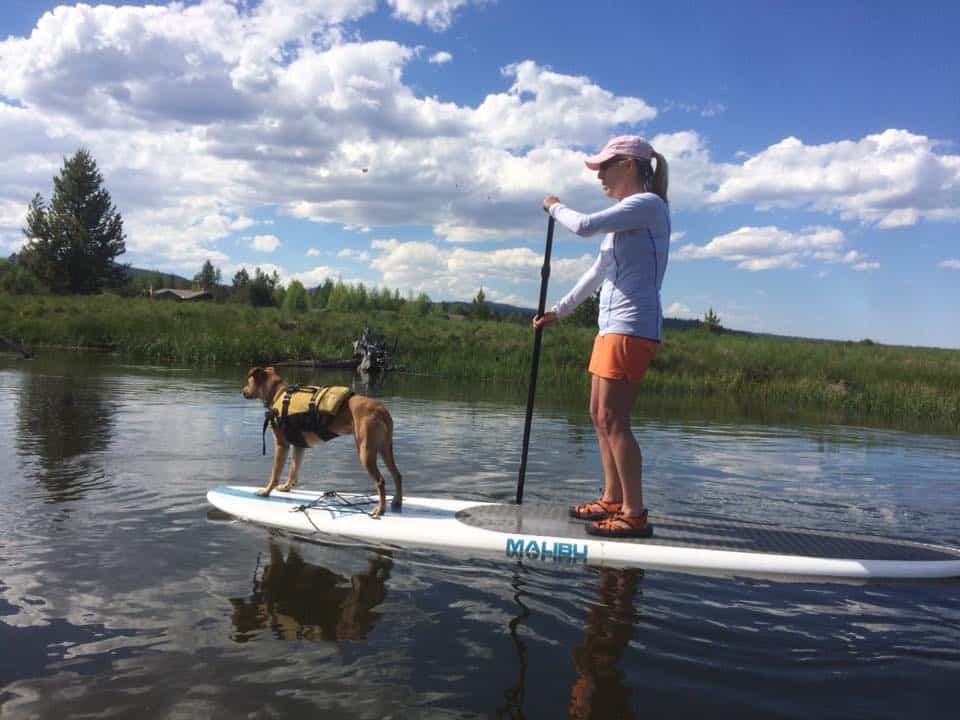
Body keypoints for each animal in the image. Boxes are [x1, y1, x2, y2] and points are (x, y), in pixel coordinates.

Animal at [244, 366, 404, 516]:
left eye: (249, 381)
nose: (243, 391)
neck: (280, 394)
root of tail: (381, 409)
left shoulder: (282, 445)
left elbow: (275, 473)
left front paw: (266, 491)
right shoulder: (299, 446)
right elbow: (293, 470)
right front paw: (287, 487)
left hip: (366, 451)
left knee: (380, 481)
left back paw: (380, 509)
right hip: (385, 448)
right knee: (397, 475)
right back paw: (397, 501)